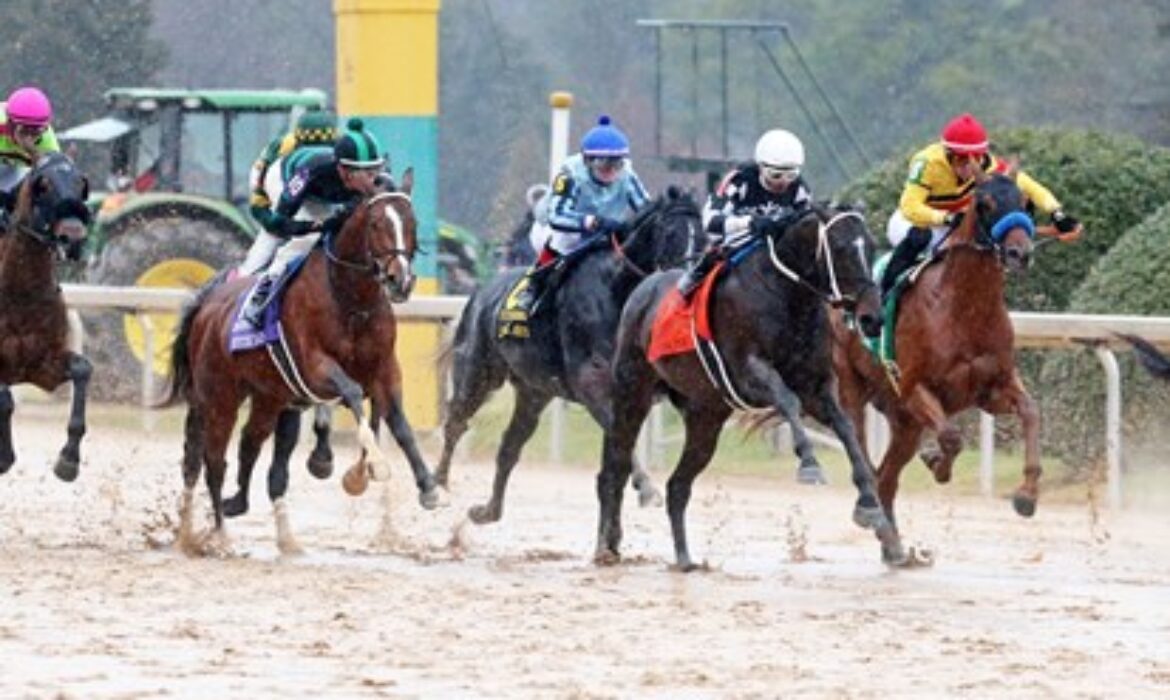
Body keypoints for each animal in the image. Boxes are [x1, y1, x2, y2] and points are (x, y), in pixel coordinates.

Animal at [0, 153, 90, 482]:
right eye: (44, 185)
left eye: (80, 183)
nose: (73, 238)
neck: (20, 292)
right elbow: (5, 399)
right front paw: (4, 456)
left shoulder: (42, 366)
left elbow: (82, 369)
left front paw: (69, 459)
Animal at [161, 169, 439, 554]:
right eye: (375, 223)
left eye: (412, 222)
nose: (401, 280)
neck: (350, 301)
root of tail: (206, 304)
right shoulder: (314, 368)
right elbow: (353, 393)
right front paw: (370, 466)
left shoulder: (385, 371)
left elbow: (400, 425)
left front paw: (428, 487)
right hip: (218, 396)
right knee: (209, 461)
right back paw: (216, 536)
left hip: (267, 397)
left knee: (247, 442)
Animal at [432, 186, 697, 526]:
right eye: (671, 232)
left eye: (703, 232)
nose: (685, 281)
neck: (617, 290)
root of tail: (480, 293)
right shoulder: (591, 386)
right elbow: (619, 436)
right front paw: (647, 488)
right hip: (477, 373)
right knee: (455, 423)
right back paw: (437, 487)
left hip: (534, 392)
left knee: (509, 446)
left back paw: (489, 510)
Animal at [594, 206, 903, 573]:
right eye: (841, 248)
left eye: (869, 246)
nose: (872, 317)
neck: (786, 297)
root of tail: (643, 289)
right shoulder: (747, 373)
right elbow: (786, 400)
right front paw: (809, 463)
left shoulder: (816, 386)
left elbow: (844, 427)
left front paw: (870, 506)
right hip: (632, 394)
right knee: (615, 468)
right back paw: (605, 548)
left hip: (705, 417)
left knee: (677, 486)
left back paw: (683, 558)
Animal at [833, 170, 1043, 564]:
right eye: (985, 203)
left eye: (1026, 202)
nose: (1019, 253)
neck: (964, 307)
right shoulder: (914, 387)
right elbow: (951, 437)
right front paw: (935, 463)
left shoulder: (992, 388)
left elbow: (1030, 411)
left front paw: (1027, 494)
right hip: (853, 387)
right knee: (864, 458)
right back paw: (869, 513)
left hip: (904, 420)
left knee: (887, 477)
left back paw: (893, 545)